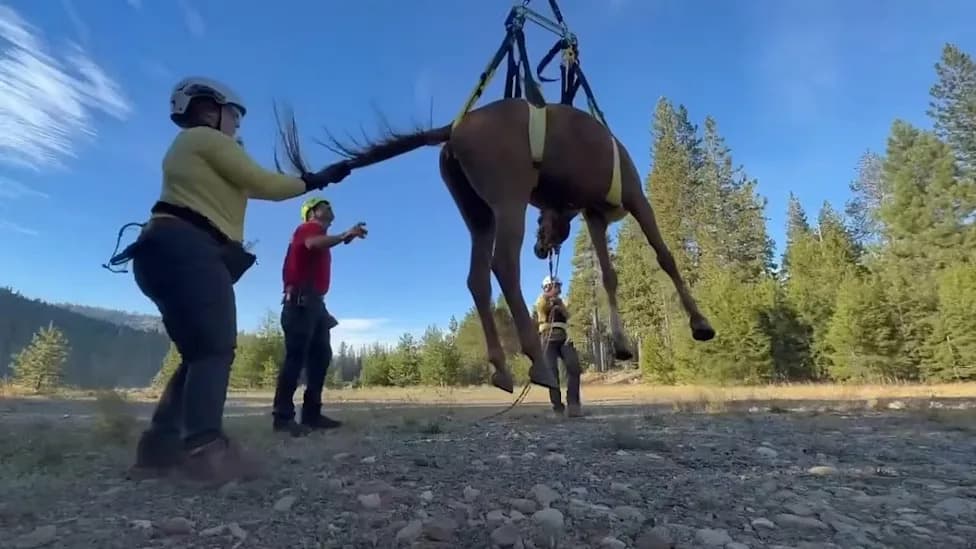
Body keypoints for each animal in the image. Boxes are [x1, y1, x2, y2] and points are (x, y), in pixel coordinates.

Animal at [276, 97, 716, 394]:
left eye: (544, 219)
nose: (541, 249)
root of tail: (452, 130)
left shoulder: (594, 216)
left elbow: (609, 275)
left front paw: (622, 342)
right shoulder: (637, 200)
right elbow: (665, 256)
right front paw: (700, 323)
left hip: (479, 216)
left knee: (477, 278)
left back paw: (502, 367)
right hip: (508, 201)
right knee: (503, 265)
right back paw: (536, 362)